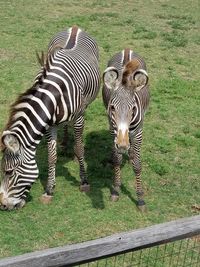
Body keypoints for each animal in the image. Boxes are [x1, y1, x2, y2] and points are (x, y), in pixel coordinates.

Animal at [0, 26, 100, 211]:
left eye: (9, 172)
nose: (3, 206)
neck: (54, 95)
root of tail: (75, 27)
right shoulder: (50, 125)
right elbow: (51, 156)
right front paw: (49, 190)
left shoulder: (79, 118)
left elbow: (80, 148)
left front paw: (84, 181)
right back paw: (65, 142)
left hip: (87, 103)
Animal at [102, 47, 149, 211]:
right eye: (112, 107)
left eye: (133, 108)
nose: (122, 145)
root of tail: (127, 50)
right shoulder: (113, 130)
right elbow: (117, 159)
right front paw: (116, 190)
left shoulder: (139, 132)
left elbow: (138, 165)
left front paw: (140, 199)